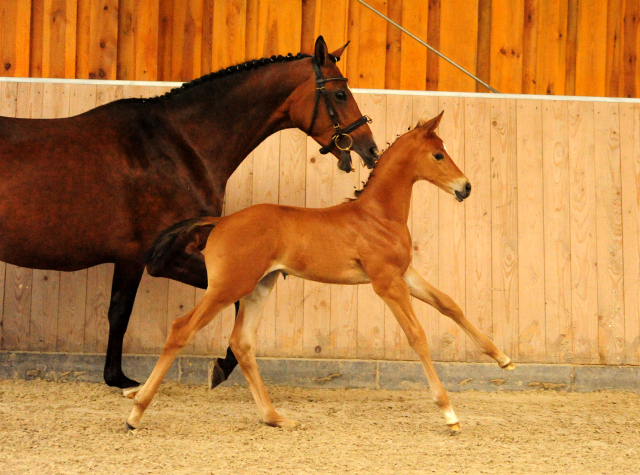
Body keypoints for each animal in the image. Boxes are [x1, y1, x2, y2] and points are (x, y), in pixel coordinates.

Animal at [0, 36, 378, 386]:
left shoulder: (139, 258)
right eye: (340, 94)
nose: (370, 149)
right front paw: (216, 367)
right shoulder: (152, 256)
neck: (179, 145)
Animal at [126, 111, 516, 432]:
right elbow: (417, 336)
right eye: (438, 155)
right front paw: (449, 413)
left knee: (242, 343)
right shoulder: (386, 283)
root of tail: (219, 221)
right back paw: (136, 412)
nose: (465, 187)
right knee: (181, 329)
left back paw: (275, 418)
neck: (377, 216)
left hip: (259, 286)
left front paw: (503, 360)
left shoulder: (403, 274)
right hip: (228, 287)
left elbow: (450, 304)